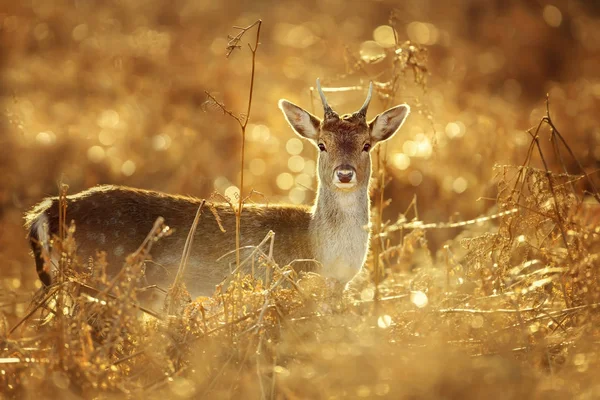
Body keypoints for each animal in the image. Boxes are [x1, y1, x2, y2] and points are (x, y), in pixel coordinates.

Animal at [22, 79, 408, 302]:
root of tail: (43, 214)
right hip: (101, 283)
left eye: (367, 145)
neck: (322, 256)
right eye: (322, 144)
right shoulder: (280, 283)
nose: (344, 174)